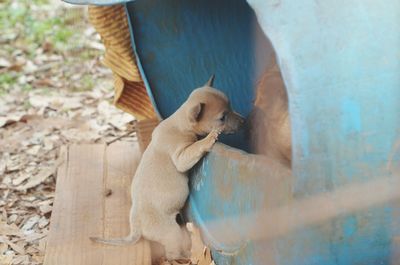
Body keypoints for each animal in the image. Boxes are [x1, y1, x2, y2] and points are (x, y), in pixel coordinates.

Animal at [90, 75, 244, 258]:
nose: (244, 121)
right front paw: (209, 139)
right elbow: (197, 146)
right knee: (171, 253)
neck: (180, 122)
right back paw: (184, 257)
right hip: (172, 232)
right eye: (222, 117)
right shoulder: (181, 156)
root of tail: (136, 225)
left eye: (231, 107)